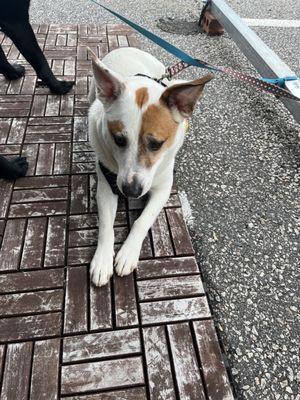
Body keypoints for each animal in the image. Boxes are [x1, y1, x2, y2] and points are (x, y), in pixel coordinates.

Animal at [88, 47, 212, 286]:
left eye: (156, 144)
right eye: (118, 140)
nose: (131, 191)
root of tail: (128, 48)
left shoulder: (163, 190)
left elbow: (143, 221)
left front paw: (128, 253)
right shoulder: (106, 187)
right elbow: (106, 225)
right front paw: (102, 260)